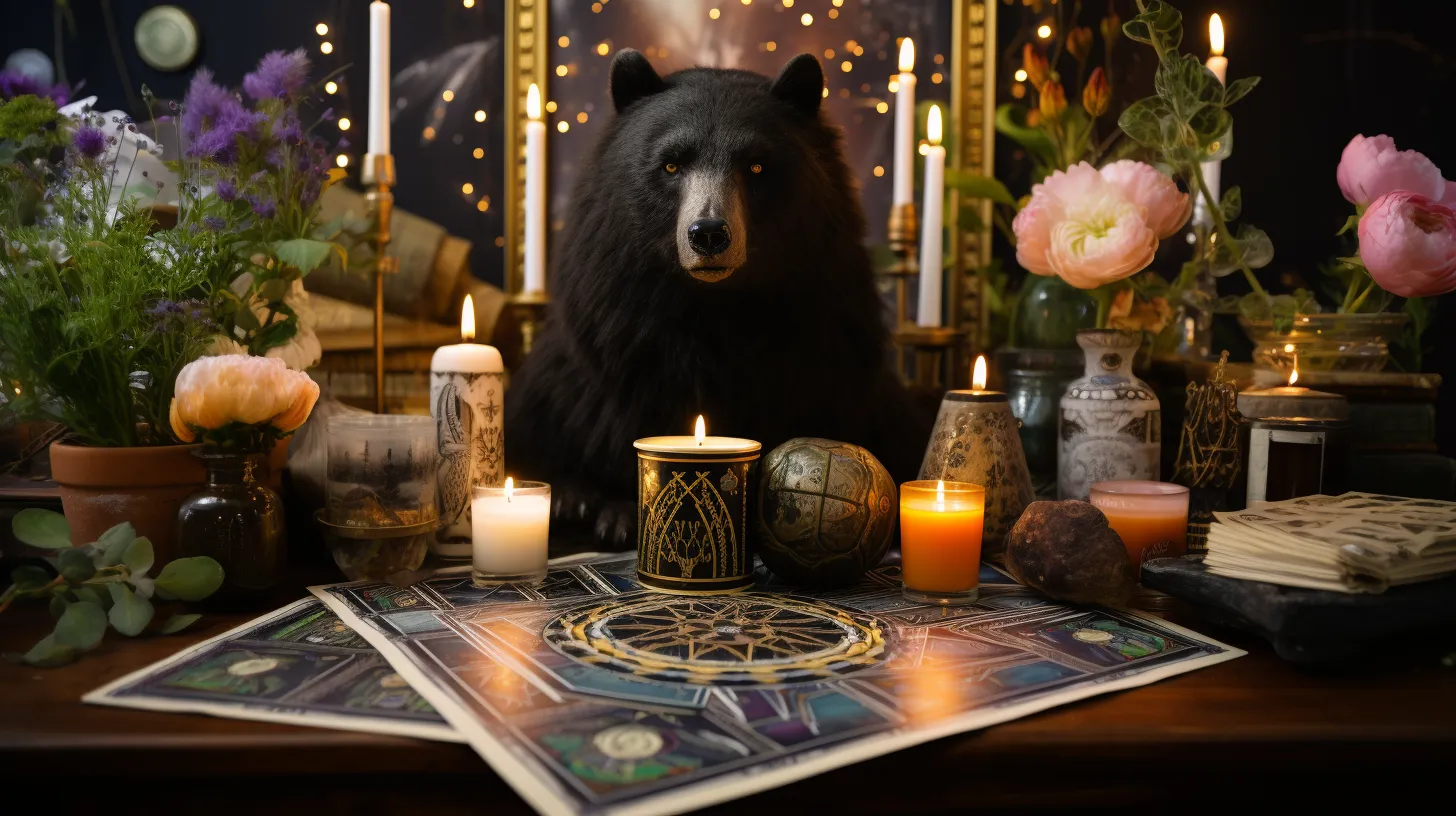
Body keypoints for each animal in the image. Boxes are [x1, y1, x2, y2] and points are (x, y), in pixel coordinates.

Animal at [506, 51, 926, 547]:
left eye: (757, 166)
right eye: (670, 165)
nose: (708, 234)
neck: (714, 306)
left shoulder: (824, 323)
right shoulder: (624, 319)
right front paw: (619, 512)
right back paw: (573, 497)